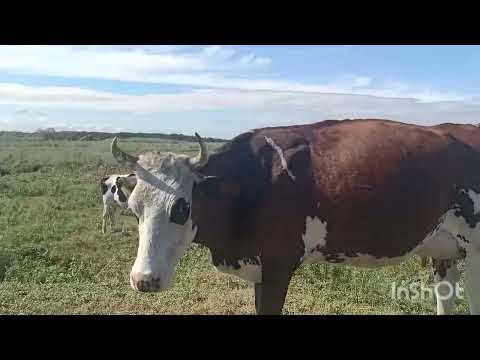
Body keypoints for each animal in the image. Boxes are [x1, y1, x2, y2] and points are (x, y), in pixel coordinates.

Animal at [109, 119, 480, 316]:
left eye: (182, 207)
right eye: (133, 208)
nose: (144, 280)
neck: (252, 181)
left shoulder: (277, 264)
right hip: (446, 253)